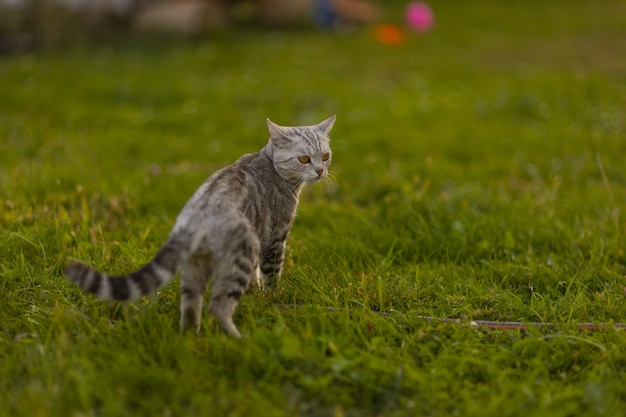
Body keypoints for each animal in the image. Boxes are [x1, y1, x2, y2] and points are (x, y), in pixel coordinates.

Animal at [65, 115, 334, 336]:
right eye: (303, 159)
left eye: (326, 156)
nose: (320, 171)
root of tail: (198, 214)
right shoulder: (275, 237)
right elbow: (271, 274)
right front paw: (272, 296)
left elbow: (257, 276)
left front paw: (257, 293)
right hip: (241, 255)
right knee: (218, 306)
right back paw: (236, 338)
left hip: (195, 266)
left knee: (191, 304)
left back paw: (190, 338)